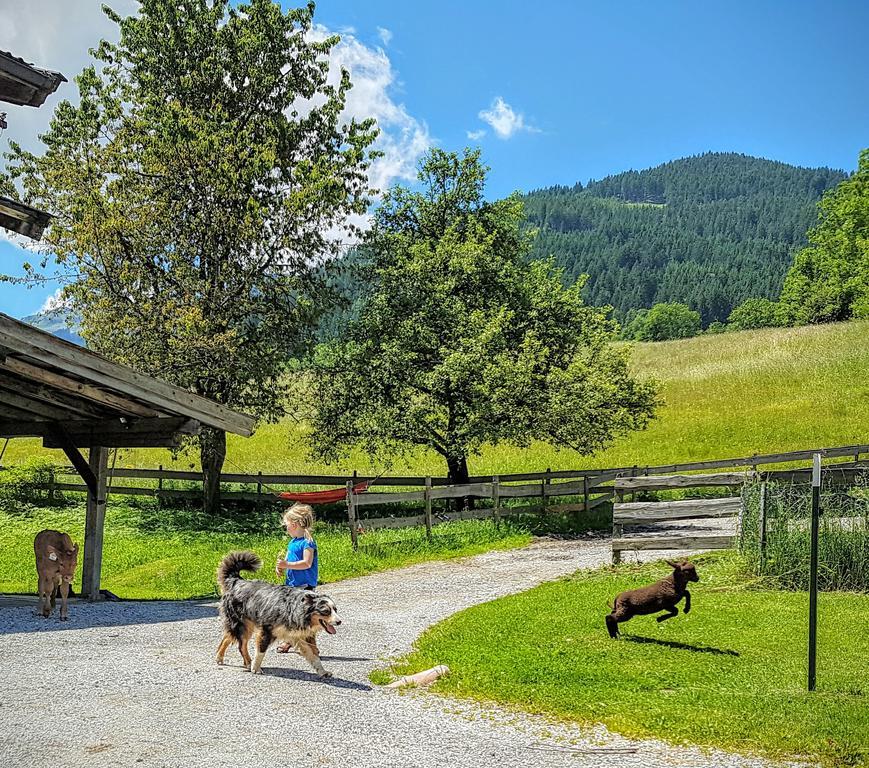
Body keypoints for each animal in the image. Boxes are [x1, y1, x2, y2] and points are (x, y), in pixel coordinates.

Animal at [215, 548, 340, 676]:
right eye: (326, 611)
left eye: (335, 609)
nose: (339, 621)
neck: (294, 609)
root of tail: (237, 581)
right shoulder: (266, 630)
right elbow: (261, 651)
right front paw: (256, 668)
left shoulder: (303, 636)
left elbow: (314, 656)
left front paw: (323, 671)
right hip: (241, 625)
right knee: (241, 645)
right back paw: (248, 663)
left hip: (244, 625)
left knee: (227, 637)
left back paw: (220, 657)